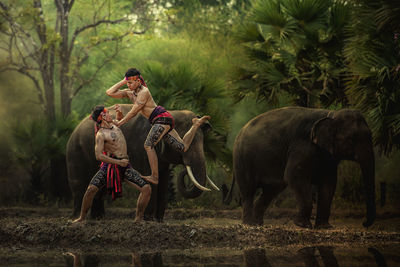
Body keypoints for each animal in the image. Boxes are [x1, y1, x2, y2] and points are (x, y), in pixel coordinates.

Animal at [230, 108, 376, 229]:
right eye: (351, 139)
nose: (364, 223)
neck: (331, 114)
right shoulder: (302, 146)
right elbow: (294, 176)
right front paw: (303, 225)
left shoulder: (328, 157)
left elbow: (329, 183)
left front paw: (325, 227)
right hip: (242, 158)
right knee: (248, 190)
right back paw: (249, 224)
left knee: (272, 190)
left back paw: (258, 223)